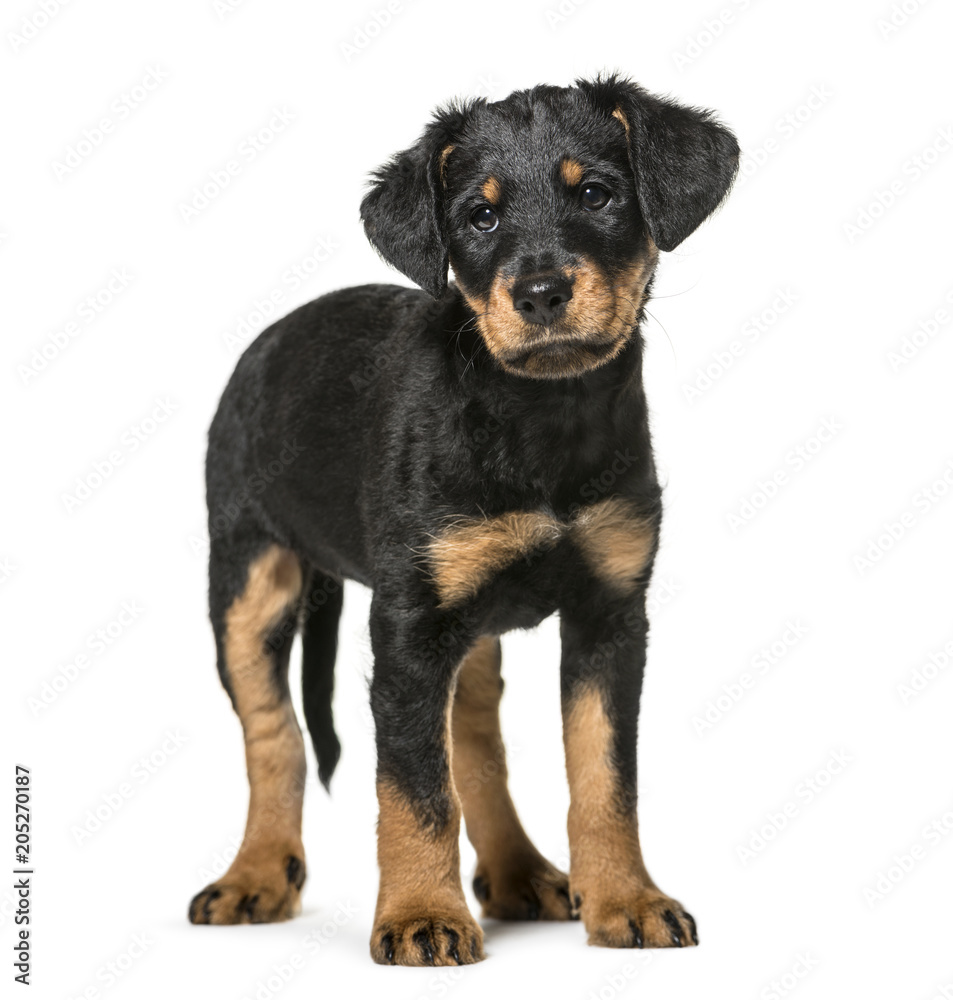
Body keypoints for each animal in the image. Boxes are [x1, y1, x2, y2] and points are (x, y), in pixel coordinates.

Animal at [186, 74, 736, 964]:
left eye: (597, 194)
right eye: (480, 216)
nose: (539, 293)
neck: (541, 416)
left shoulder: (611, 614)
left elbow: (602, 775)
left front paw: (627, 900)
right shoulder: (409, 625)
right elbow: (413, 786)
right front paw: (419, 917)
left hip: (468, 619)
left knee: (475, 741)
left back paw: (518, 874)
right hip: (247, 578)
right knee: (275, 737)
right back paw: (256, 875)